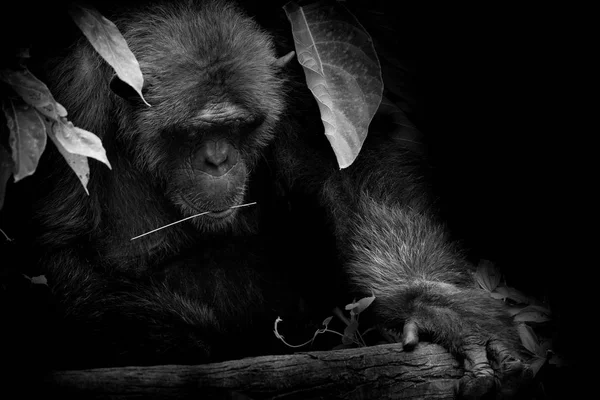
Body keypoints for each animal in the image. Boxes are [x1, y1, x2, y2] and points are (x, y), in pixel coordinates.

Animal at [0, 0, 528, 396]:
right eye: (193, 132)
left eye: (241, 126)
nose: (218, 160)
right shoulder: (63, 108)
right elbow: (55, 259)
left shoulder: (298, 81)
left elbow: (352, 168)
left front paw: (432, 304)